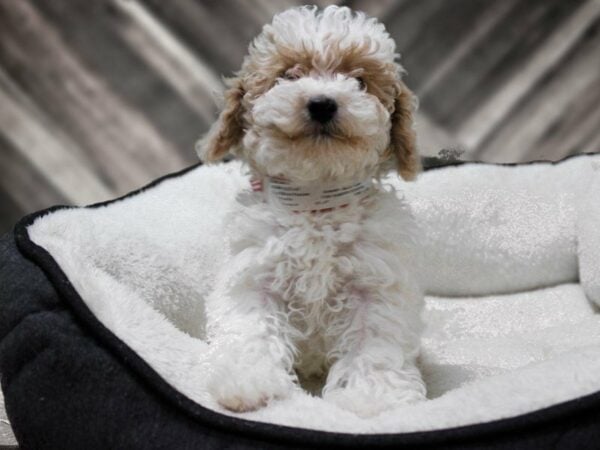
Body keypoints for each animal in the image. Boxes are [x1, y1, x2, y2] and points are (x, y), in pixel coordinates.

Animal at [199, 4, 424, 418]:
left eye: (360, 82)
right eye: (289, 76)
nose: (322, 103)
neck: (316, 204)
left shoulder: (374, 283)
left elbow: (374, 341)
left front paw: (374, 397)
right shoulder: (256, 274)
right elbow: (253, 326)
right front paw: (249, 382)